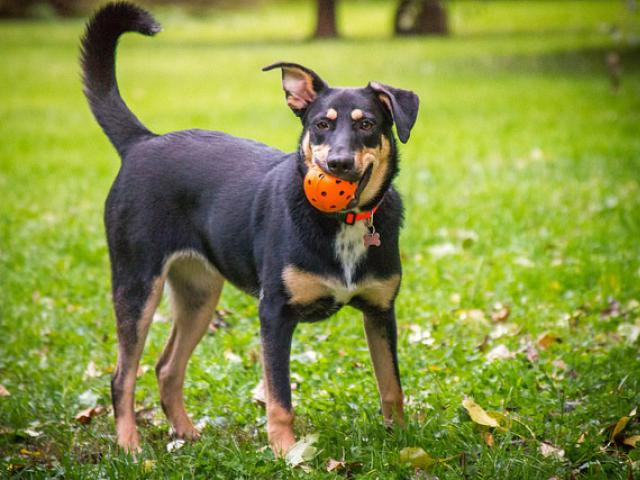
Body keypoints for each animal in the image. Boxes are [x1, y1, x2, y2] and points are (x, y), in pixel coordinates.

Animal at [80, 0, 420, 458]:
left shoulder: (381, 311)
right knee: (122, 375)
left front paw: (402, 442)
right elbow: (279, 399)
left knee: (166, 367)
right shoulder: (274, 313)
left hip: (199, 294)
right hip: (137, 283)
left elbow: (391, 387)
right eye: (321, 125)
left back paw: (185, 433)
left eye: (367, 124)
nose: (338, 164)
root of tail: (141, 142)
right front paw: (287, 452)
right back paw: (131, 448)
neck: (342, 223)